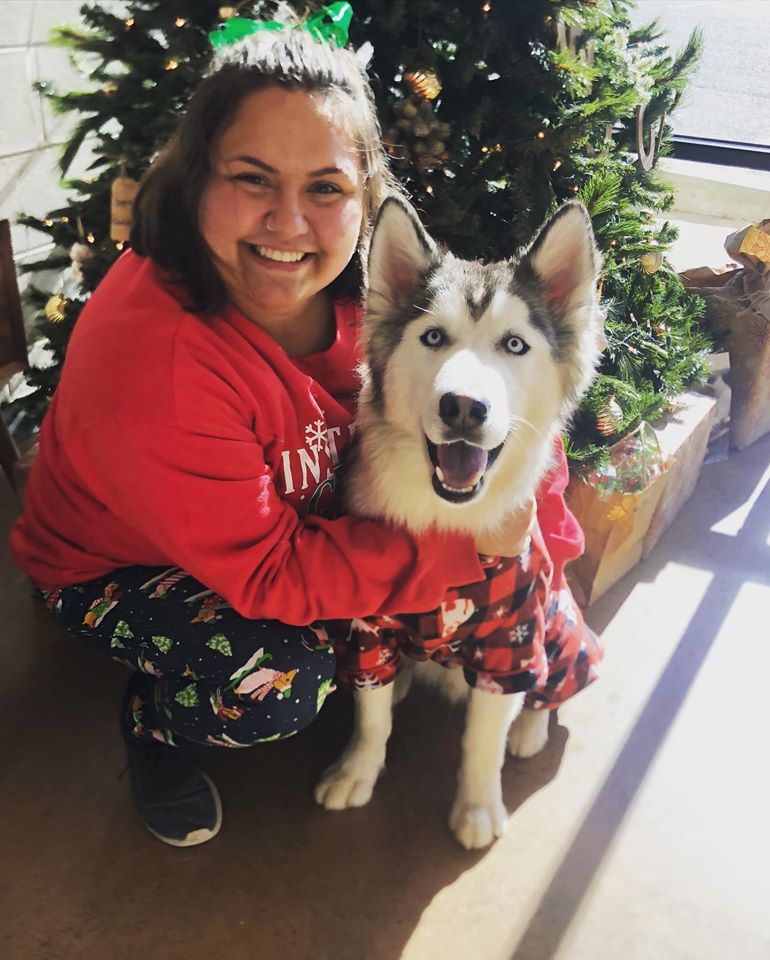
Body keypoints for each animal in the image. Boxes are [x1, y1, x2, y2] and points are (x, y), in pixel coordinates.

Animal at [312, 197, 600, 848]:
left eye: (515, 344)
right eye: (433, 337)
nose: (464, 407)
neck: (446, 519)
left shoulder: (510, 643)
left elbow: (483, 739)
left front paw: (477, 809)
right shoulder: (367, 626)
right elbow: (370, 717)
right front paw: (357, 771)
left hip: (561, 626)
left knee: (552, 686)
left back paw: (531, 729)